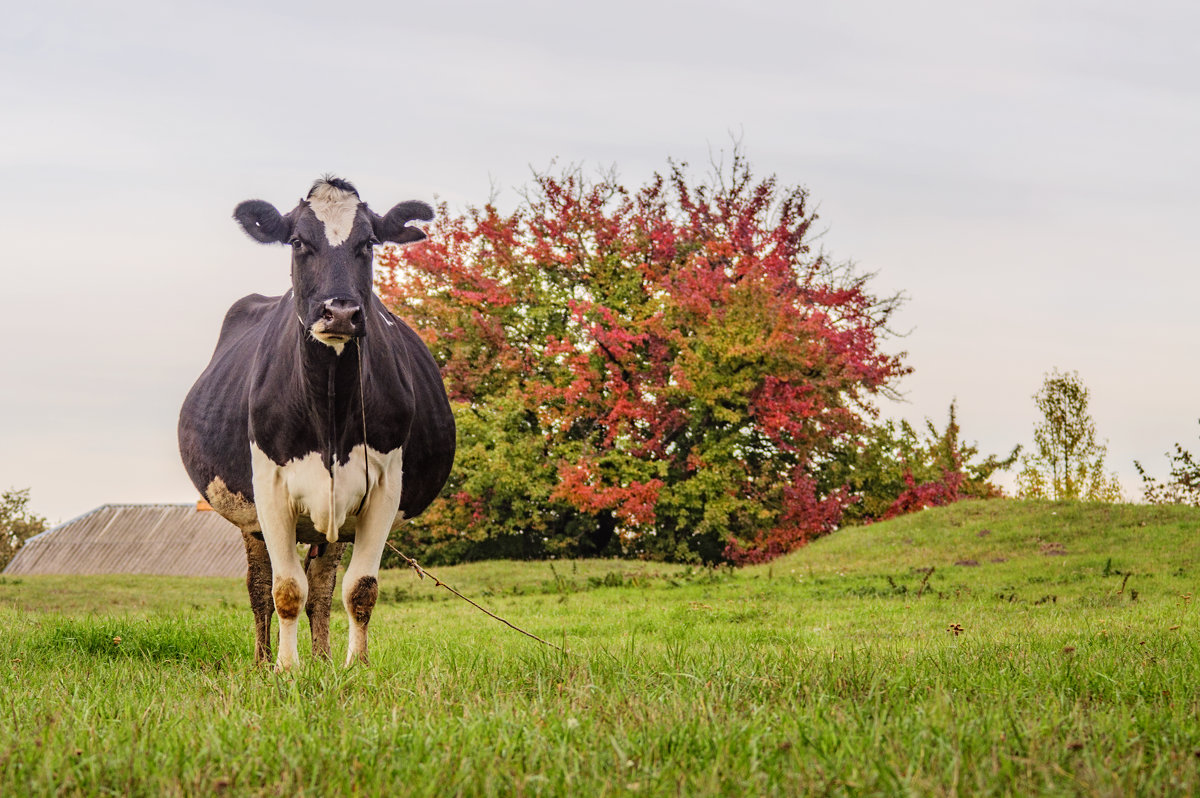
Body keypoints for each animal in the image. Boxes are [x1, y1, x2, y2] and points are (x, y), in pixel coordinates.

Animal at [177, 177, 453, 667]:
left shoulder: (383, 487)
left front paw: (355, 667)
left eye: (368, 243)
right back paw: (263, 661)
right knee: (260, 588)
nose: (340, 312)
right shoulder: (269, 489)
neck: (330, 408)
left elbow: (359, 589)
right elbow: (286, 590)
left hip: (336, 521)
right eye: (298, 242)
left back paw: (323, 661)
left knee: (321, 587)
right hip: (250, 517)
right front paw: (286, 669)